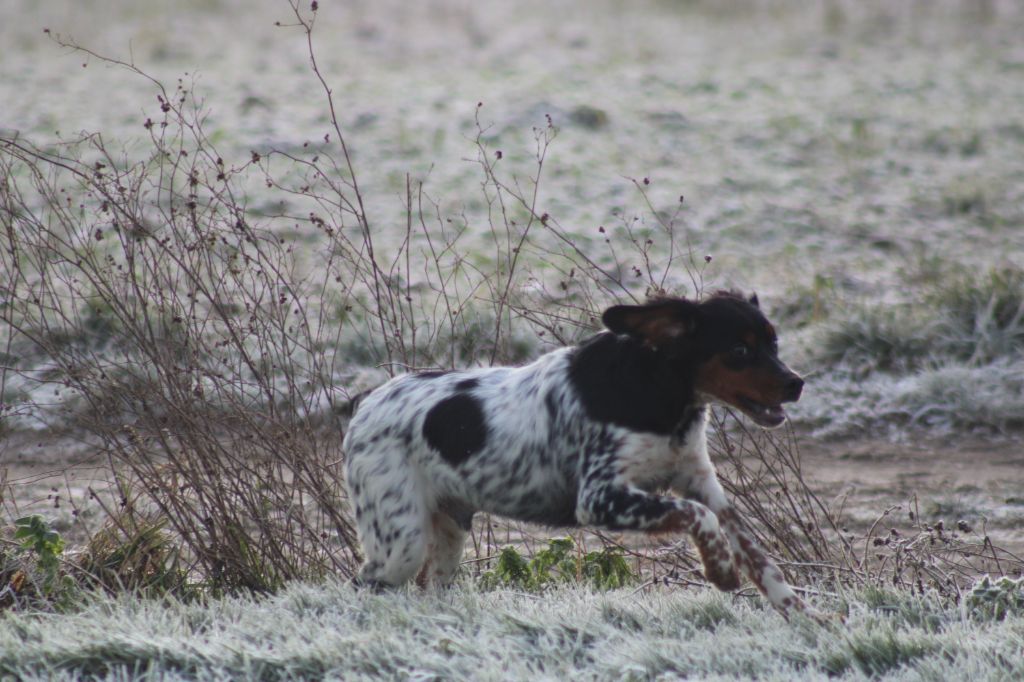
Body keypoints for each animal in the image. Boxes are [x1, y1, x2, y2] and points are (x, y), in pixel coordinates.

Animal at [343, 291, 810, 617]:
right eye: (739, 351)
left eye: (774, 344)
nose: (796, 383)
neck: (657, 389)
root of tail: (365, 405)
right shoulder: (599, 497)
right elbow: (698, 517)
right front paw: (720, 570)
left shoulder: (700, 481)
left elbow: (758, 556)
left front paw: (803, 619)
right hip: (400, 542)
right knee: (363, 587)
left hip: (448, 533)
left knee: (431, 590)